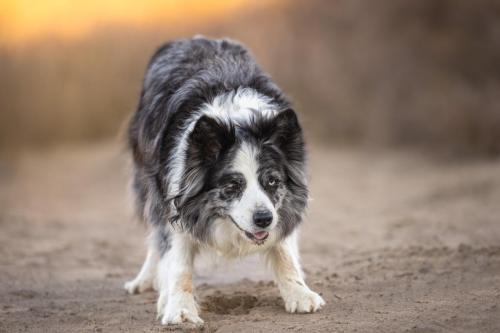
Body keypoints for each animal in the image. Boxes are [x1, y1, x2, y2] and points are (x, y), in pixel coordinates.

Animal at [123, 37, 322, 324]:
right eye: (232, 186)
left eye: (272, 182)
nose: (264, 219)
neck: (237, 122)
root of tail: (191, 38)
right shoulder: (174, 197)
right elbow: (178, 263)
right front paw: (180, 309)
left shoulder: (282, 207)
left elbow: (284, 251)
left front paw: (299, 294)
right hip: (147, 180)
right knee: (155, 236)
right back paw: (147, 281)